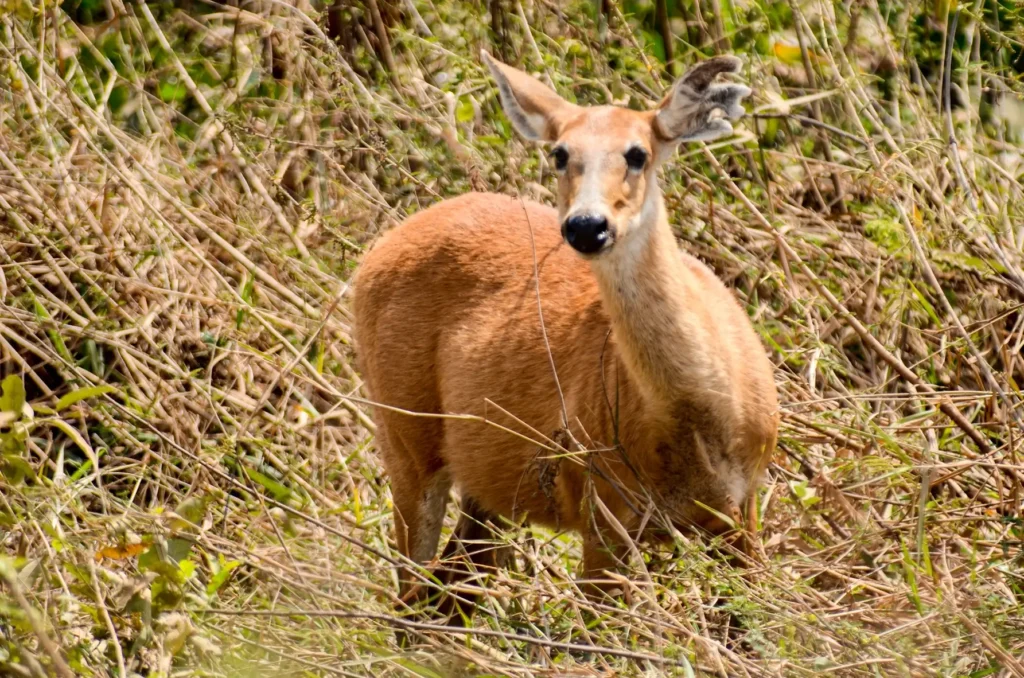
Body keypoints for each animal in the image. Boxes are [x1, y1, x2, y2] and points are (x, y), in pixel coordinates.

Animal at [353, 52, 779, 623]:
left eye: (638, 153)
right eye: (560, 153)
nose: (585, 226)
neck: (698, 418)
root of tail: (376, 251)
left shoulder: (743, 507)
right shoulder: (604, 506)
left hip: (486, 483)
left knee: (454, 583)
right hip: (403, 431)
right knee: (410, 591)